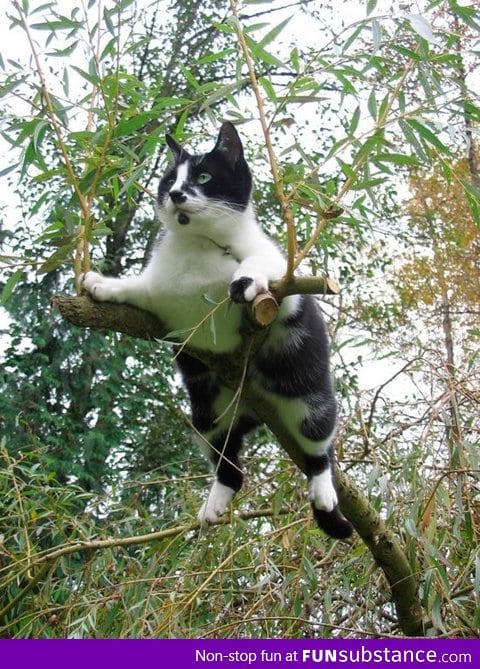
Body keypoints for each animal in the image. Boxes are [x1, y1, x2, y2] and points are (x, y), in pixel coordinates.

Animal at [81, 120, 352, 536]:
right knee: (229, 462)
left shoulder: (285, 289)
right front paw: (103, 285)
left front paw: (246, 278)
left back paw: (322, 490)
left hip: (308, 398)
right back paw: (216, 503)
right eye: (169, 180)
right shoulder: (161, 300)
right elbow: (135, 289)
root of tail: (253, 413)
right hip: (206, 412)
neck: (200, 248)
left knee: (321, 444)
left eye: (204, 177)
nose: (176, 194)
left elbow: (263, 269)